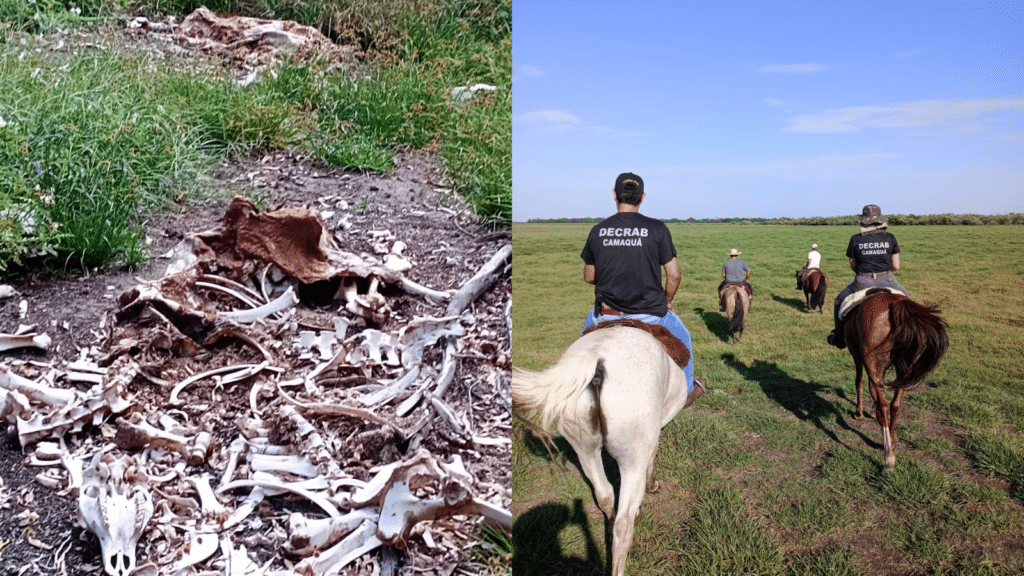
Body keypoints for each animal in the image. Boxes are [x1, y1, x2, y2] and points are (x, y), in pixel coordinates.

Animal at [512, 323, 688, 573]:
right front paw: (652, 485)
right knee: (623, 524)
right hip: (632, 459)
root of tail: (594, 358)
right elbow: (653, 456)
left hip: (585, 450)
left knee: (604, 494)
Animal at [843, 289, 946, 469]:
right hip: (905, 371)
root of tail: (895, 302)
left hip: (873, 364)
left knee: (883, 407)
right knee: (895, 405)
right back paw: (891, 441)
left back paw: (888, 457)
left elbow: (859, 382)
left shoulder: (856, 355)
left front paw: (859, 413)